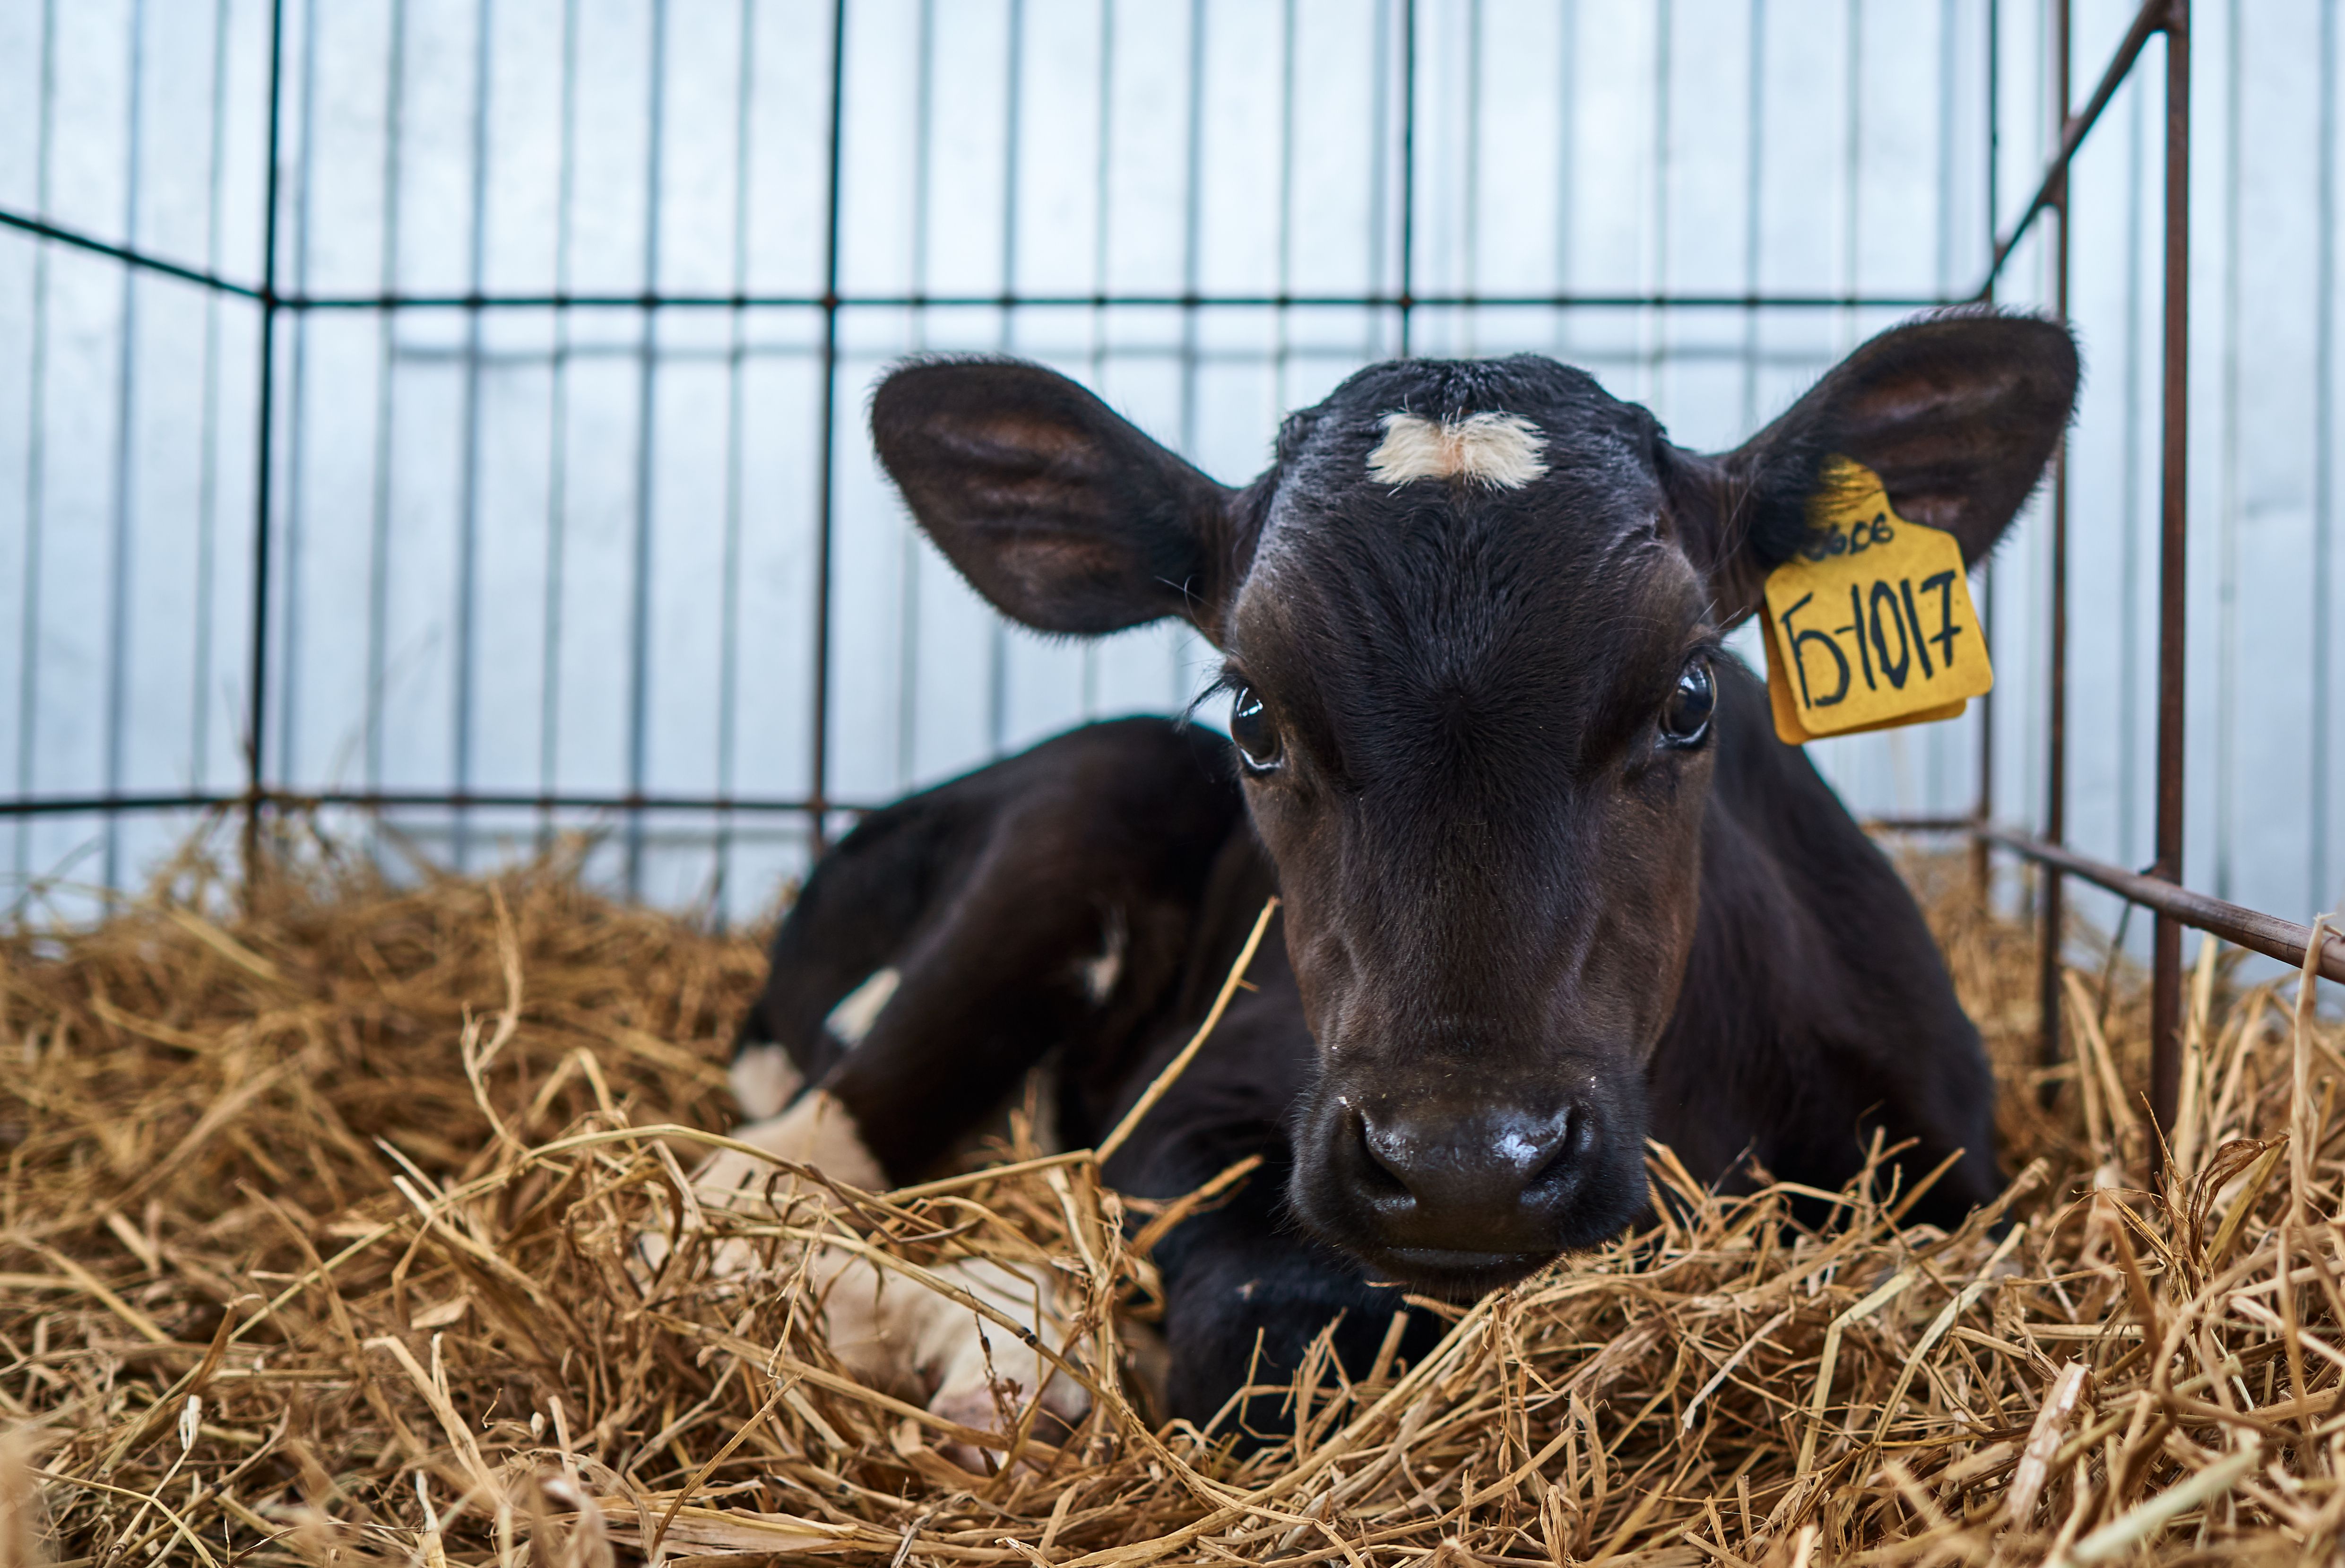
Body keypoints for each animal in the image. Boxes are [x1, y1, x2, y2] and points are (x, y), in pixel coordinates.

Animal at [678, 309, 2077, 1453]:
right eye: (1252, 713)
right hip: (1067, 824)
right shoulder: (1189, 1115)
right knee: (738, 1196)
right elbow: (1270, 1331)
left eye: (1689, 695)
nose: (1465, 1159)